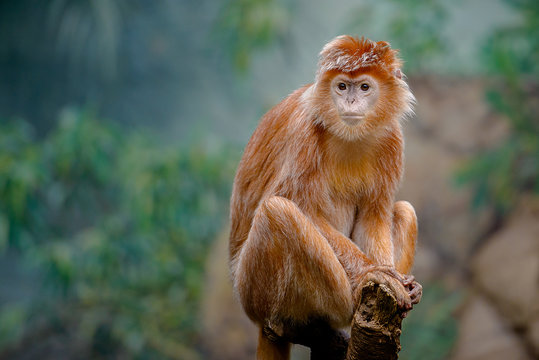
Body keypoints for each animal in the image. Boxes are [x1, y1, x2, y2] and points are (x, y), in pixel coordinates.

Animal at [228, 34, 422, 360]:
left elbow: (374, 215)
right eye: (342, 86)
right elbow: (299, 207)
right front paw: (373, 273)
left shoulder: (391, 138)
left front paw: (395, 279)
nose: (350, 101)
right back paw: (352, 298)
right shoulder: (303, 130)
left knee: (405, 209)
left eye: (364, 87)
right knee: (277, 210)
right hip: (254, 293)